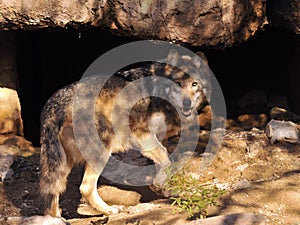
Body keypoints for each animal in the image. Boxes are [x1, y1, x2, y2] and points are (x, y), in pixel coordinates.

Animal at [39, 48, 211, 216]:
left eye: (194, 84)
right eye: (178, 83)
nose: (187, 103)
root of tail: (56, 102)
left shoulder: (157, 138)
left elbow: (162, 161)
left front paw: (162, 188)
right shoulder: (142, 133)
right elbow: (165, 158)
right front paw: (163, 185)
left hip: (63, 162)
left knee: (54, 192)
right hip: (101, 151)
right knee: (85, 188)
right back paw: (109, 210)